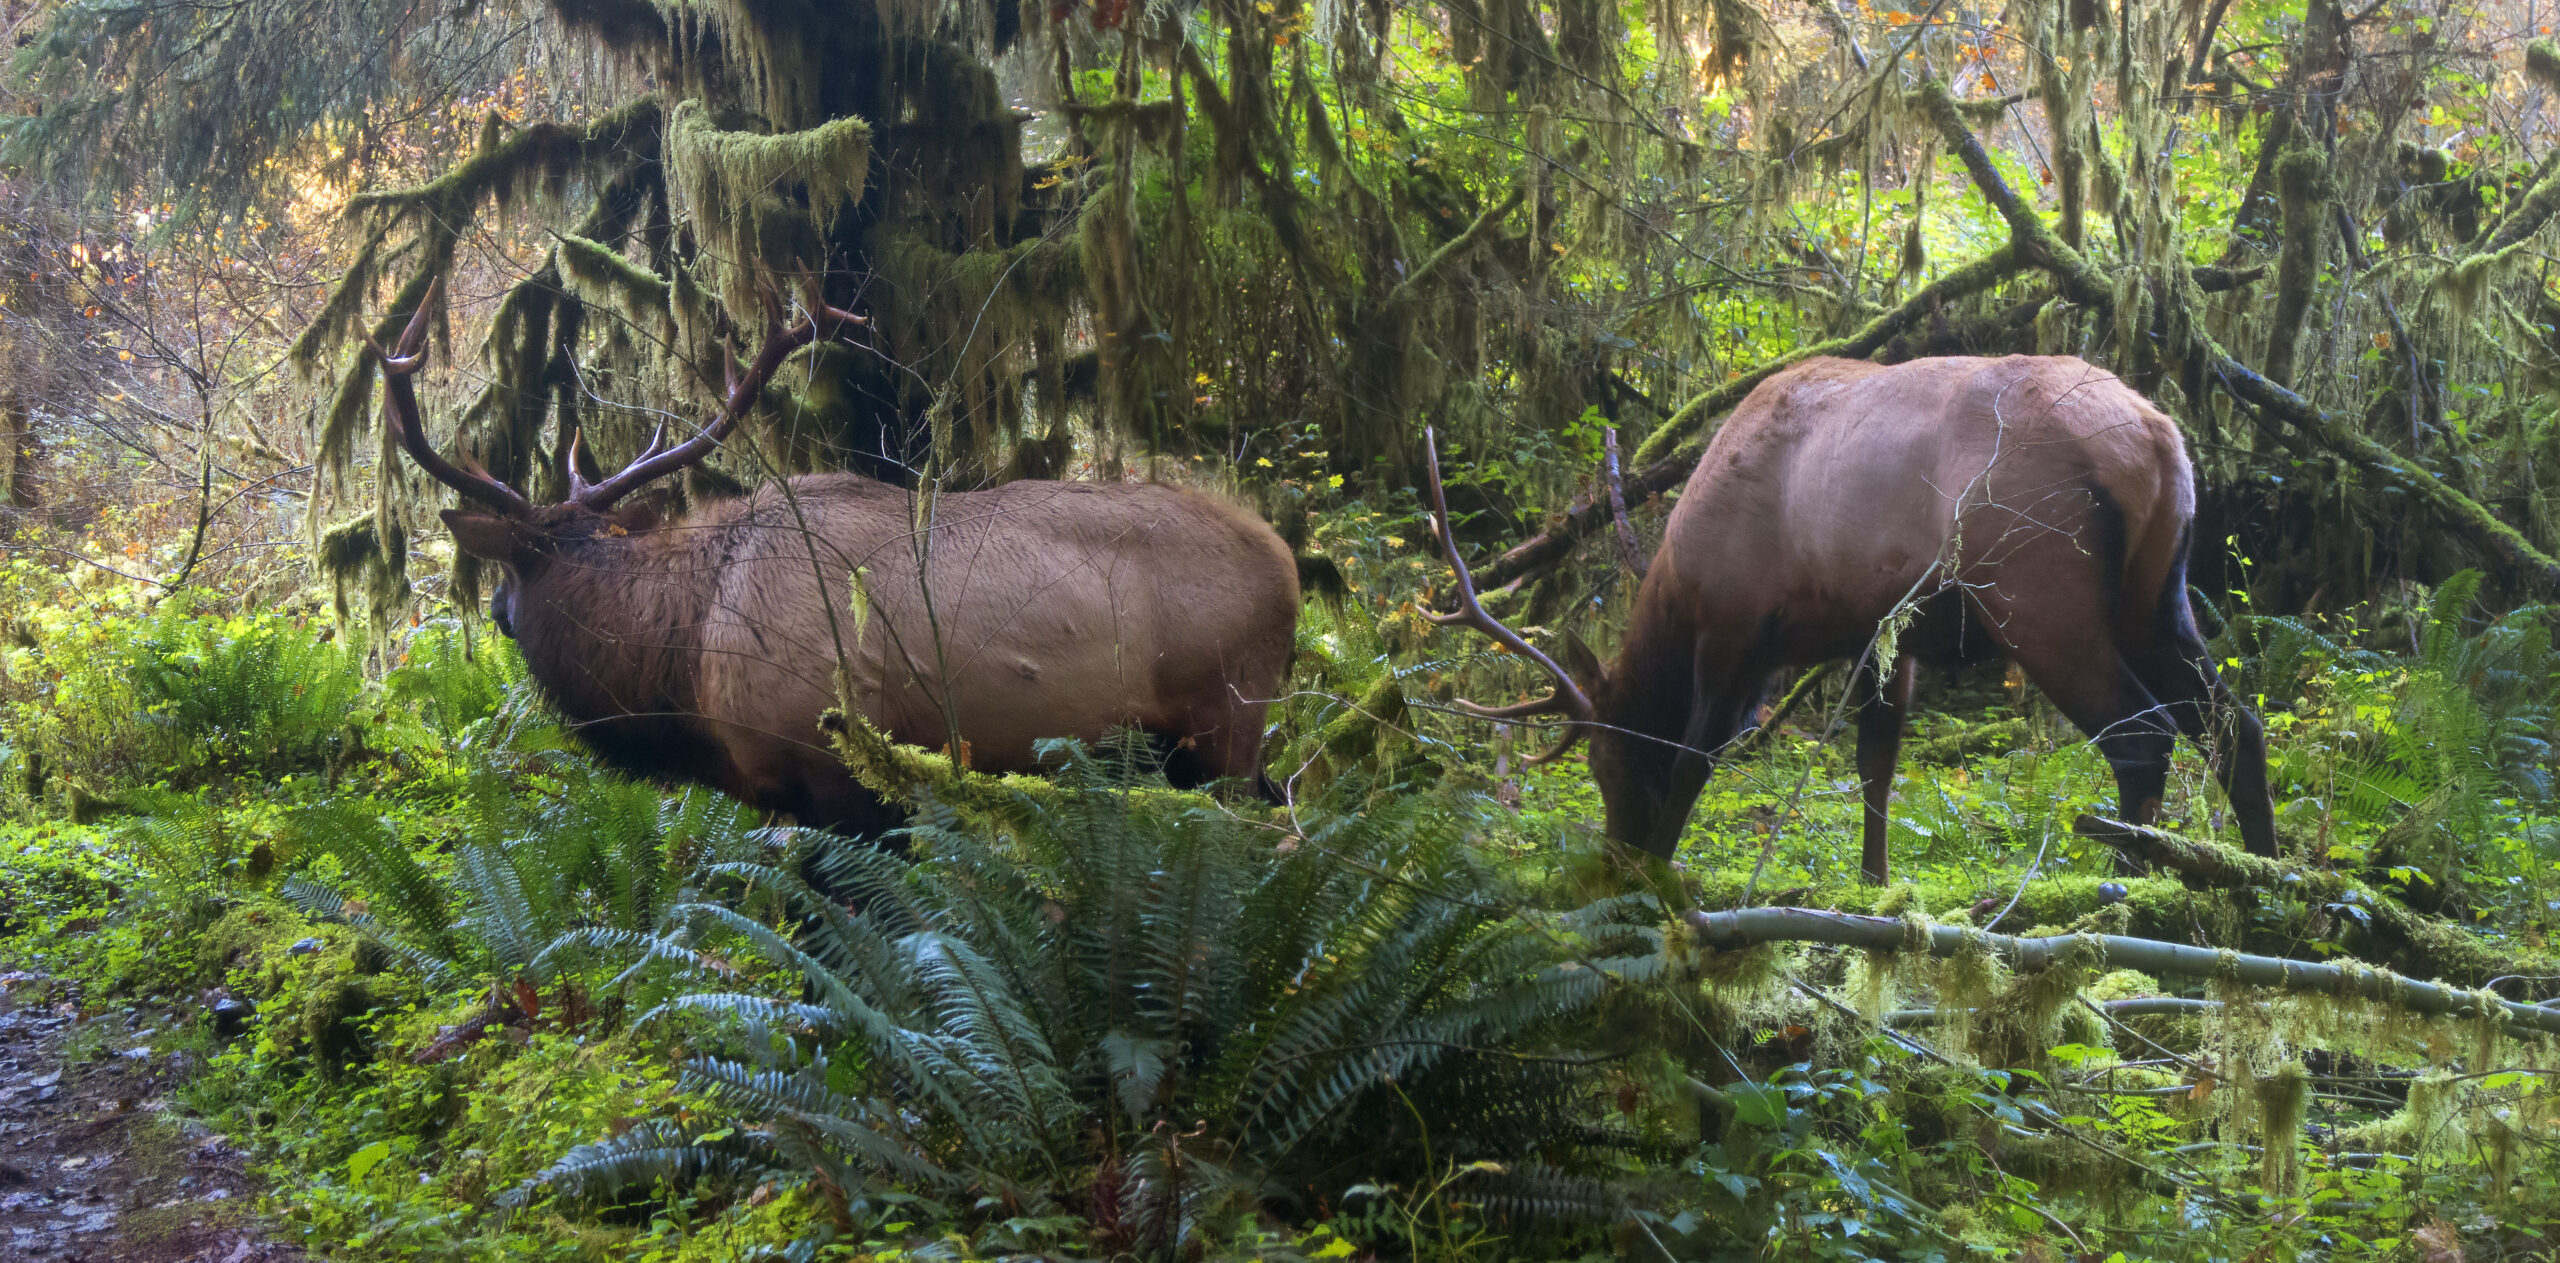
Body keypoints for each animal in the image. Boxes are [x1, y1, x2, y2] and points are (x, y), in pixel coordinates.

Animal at [371, 290, 1300, 830]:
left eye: (512, 573)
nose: (495, 613)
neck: (685, 663)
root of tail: (1291, 568)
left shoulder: (840, 774)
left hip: (1226, 722)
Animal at [1443, 353, 2283, 881]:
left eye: (1605, 762)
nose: (1615, 855)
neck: (1680, 580)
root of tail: (2160, 441)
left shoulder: (1734, 626)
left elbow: (1694, 757)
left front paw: (1658, 875)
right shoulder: (1886, 633)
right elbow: (1876, 764)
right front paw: (1873, 884)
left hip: (2038, 593)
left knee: (2143, 736)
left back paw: (2119, 892)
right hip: (2158, 597)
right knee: (2236, 724)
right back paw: (2267, 879)